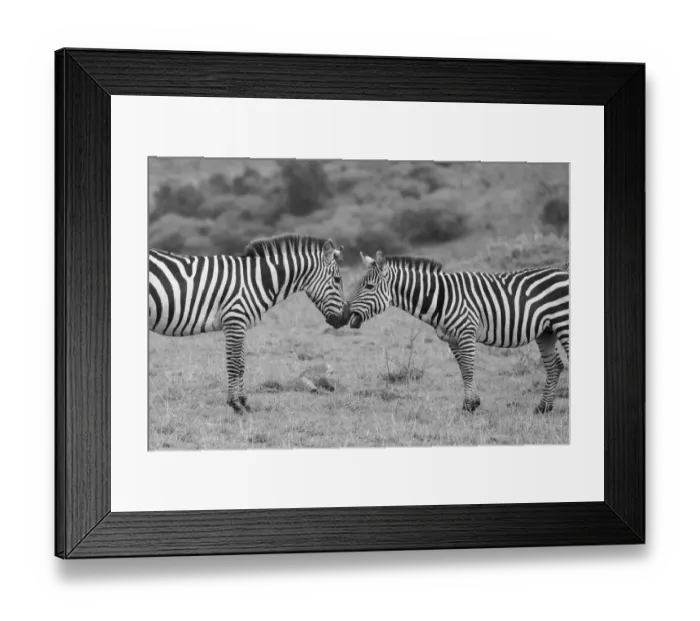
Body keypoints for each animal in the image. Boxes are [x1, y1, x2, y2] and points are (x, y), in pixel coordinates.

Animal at [148, 235, 350, 412]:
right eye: (337, 279)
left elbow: (242, 364)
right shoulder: (234, 320)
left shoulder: (239, 324)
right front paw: (235, 405)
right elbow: (234, 364)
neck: (257, 281)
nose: (346, 318)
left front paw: (244, 402)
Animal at [347, 251, 569, 413]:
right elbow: (463, 369)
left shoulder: (466, 332)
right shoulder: (452, 339)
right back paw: (543, 408)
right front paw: (472, 402)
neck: (442, 297)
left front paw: (470, 406)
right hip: (546, 331)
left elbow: (469, 368)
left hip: (564, 323)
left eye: (369, 286)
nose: (347, 314)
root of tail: (564, 271)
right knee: (555, 366)